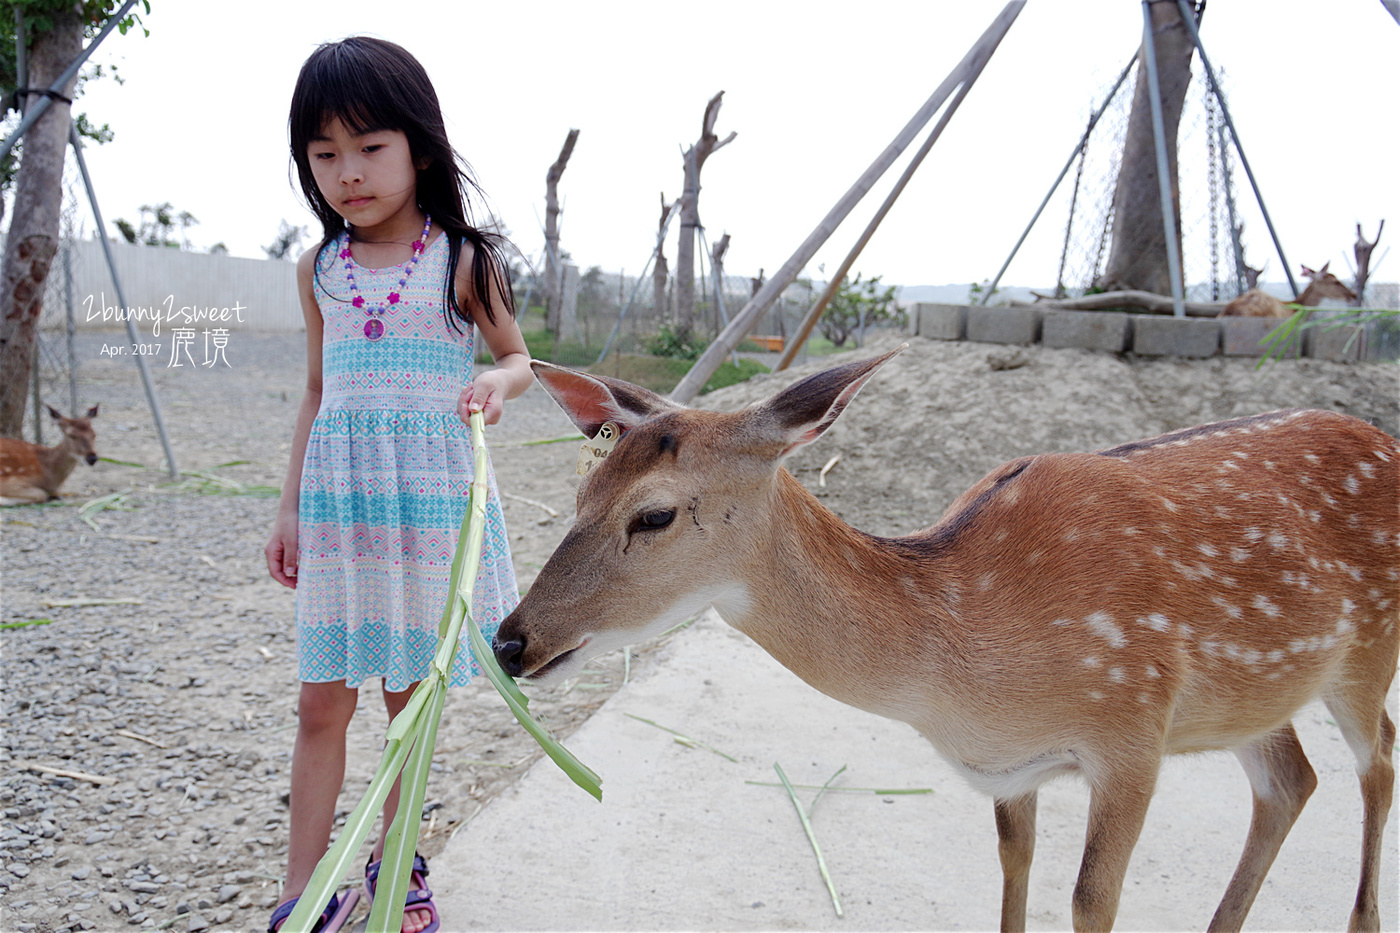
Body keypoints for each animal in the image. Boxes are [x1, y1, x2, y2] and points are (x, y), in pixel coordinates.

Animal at [498, 348, 1394, 930]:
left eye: (652, 513)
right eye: (578, 490)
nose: (509, 642)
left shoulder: (1134, 730)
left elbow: (1090, 900)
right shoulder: (1012, 772)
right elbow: (1014, 870)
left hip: (1367, 653)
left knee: (1376, 756)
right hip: (1256, 693)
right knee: (1293, 780)